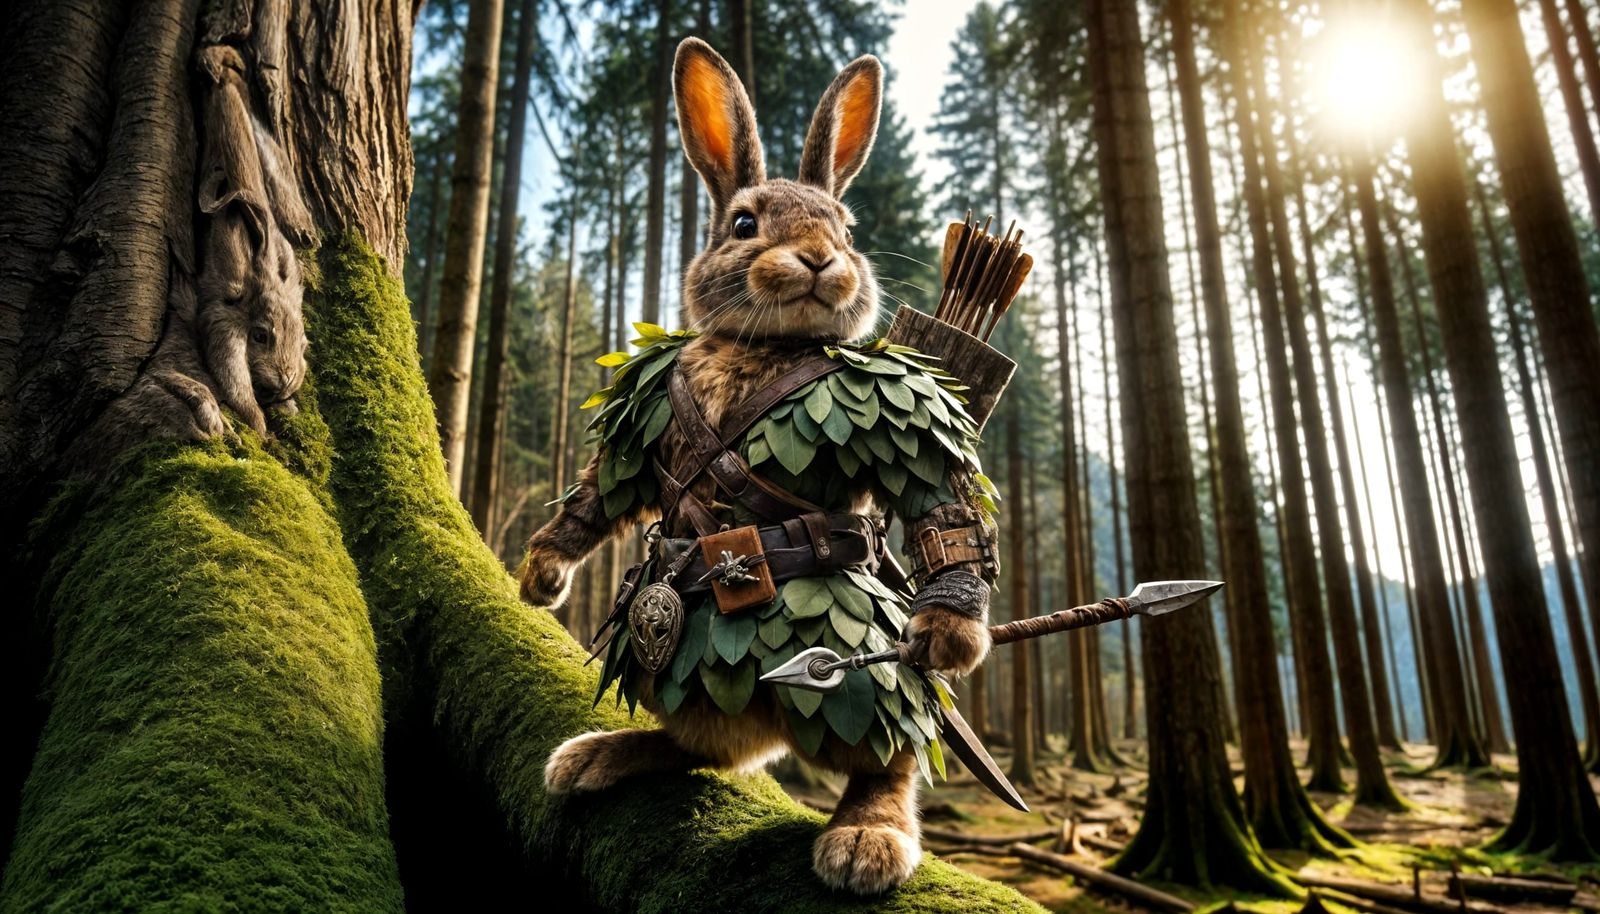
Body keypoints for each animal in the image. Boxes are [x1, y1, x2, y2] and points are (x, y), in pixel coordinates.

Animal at [521, 39, 992, 896]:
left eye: (846, 227)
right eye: (744, 223)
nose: (820, 260)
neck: (767, 345)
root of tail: (771, 719)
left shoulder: (893, 403)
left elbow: (932, 495)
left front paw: (949, 635)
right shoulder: (648, 407)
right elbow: (603, 488)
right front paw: (540, 576)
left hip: (851, 675)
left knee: (885, 751)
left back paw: (867, 837)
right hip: (685, 671)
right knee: (707, 747)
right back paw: (600, 755)